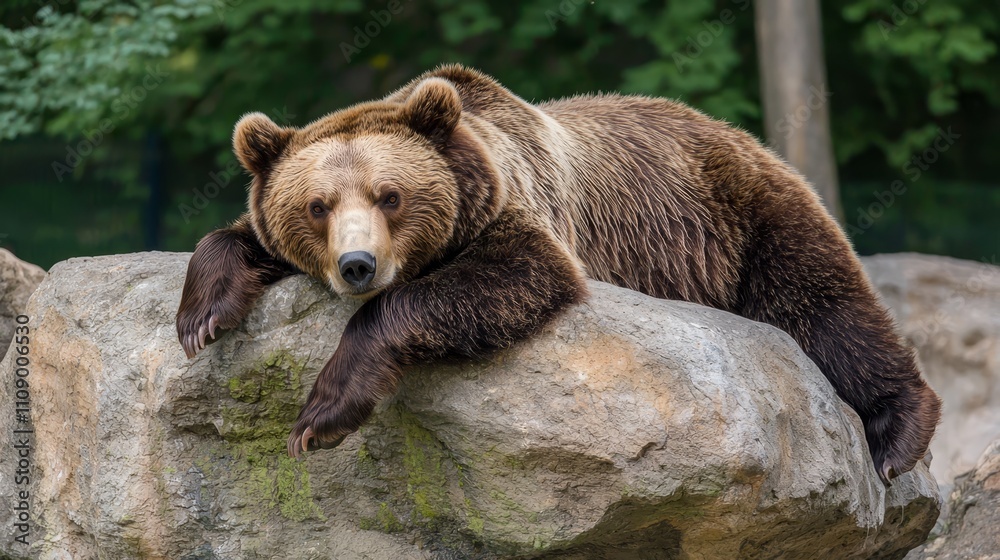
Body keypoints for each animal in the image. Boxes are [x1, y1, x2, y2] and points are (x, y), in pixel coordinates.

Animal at [176, 64, 940, 484]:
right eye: (318, 205)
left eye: (389, 195)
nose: (357, 265)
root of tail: (736, 131)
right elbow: (233, 237)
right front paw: (201, 317)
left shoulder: (523, 211)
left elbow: (512, 276)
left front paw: (320, 416)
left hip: (744, 219)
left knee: (826, 304)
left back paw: (897, 434)